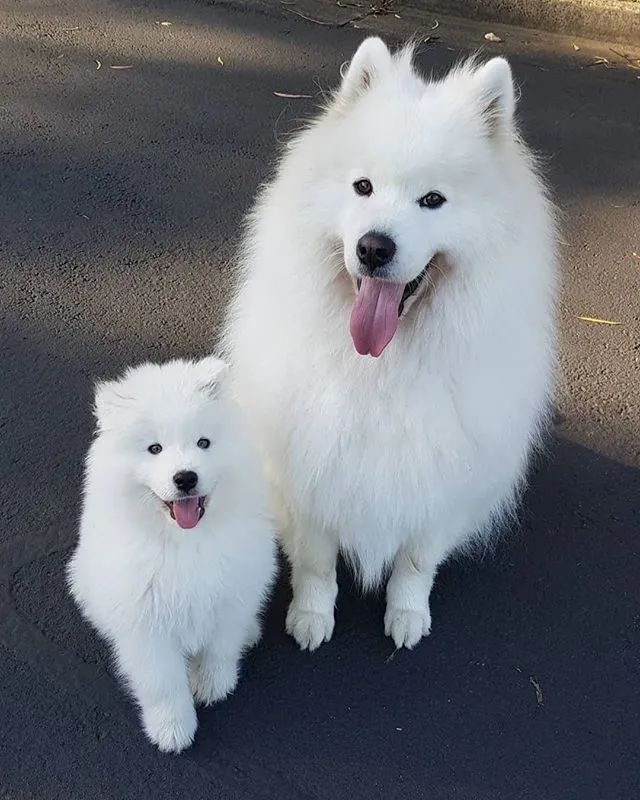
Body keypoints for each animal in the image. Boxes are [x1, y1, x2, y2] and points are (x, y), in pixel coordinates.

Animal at [67, 360, 276, 752]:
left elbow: (220, 649)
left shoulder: (231, 595)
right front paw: (173, 729)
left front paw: (214, 685)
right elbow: (163, 683)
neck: (184, 542)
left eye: (203, 442)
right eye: (154, 448)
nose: (185, 478)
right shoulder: (147, 626)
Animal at [224, 36, 556, 648]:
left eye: (433, 200)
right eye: (363, 187)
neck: (382, 365)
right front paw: (311, 617)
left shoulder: (443, 482)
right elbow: (316, 563)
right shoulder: (310, 467)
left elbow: (416, 563)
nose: (374, 247)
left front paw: (406, 615)